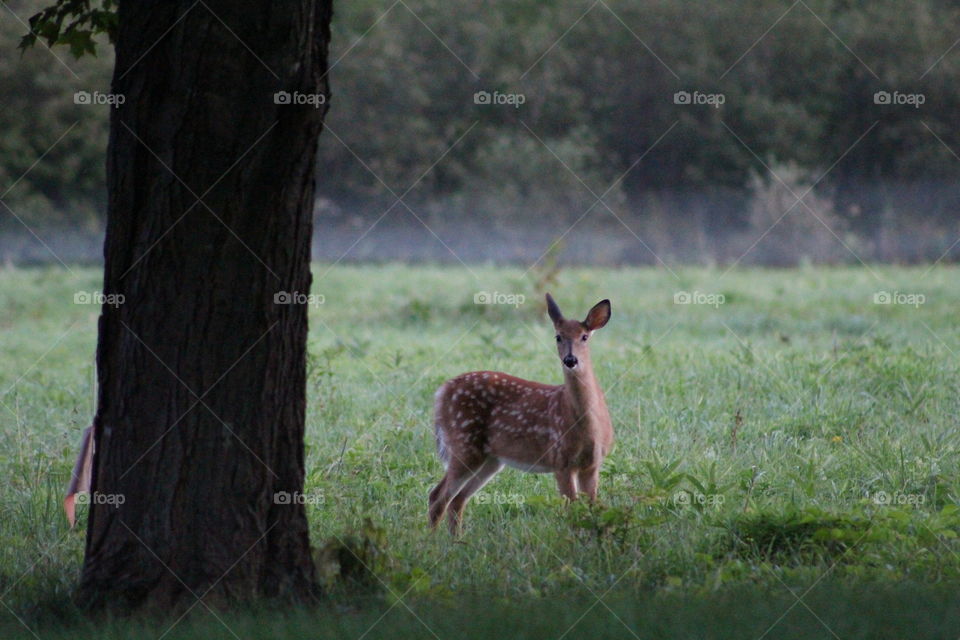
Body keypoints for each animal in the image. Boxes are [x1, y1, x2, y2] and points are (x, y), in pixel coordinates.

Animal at [429, 293, 613, 534]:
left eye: (584, 337)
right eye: (558, 336)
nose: (570, 360)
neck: (587, 425)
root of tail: (441, 392)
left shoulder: (592, 464)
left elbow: (591, 508)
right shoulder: (560, 460)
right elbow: (572, 511)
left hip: (490, 459)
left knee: (458, 499)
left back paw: (455, 539)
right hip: (463, 443)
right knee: (437, 496)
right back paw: (431, 541)